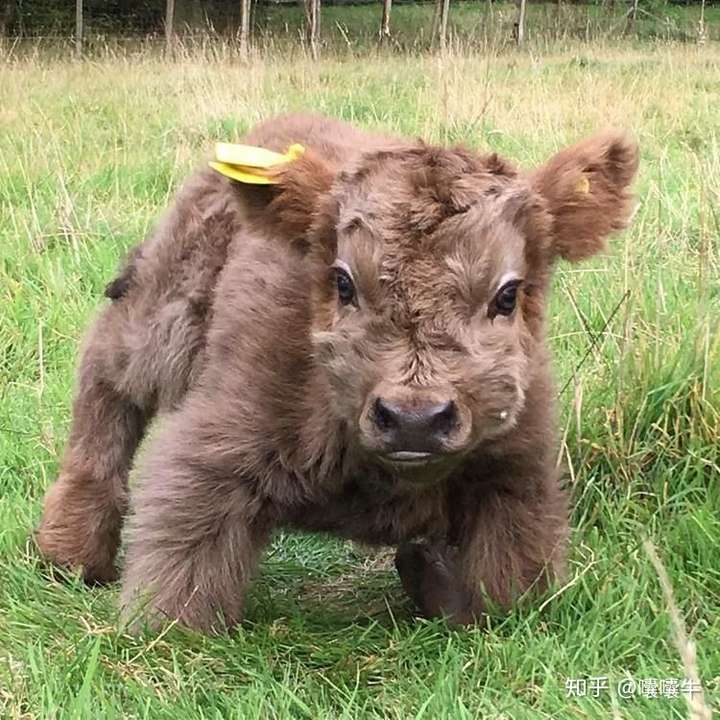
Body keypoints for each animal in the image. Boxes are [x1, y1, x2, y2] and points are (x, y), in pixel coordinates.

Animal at [36, 114, 640, 632]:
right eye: (344, 283)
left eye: (507, 295)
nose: (414, 419)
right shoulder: (209, 455)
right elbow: (179, 575)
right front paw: (159, 636)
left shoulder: (516, 478)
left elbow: (505, 591)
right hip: (162, 315)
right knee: (105, 378)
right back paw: (70, 552)